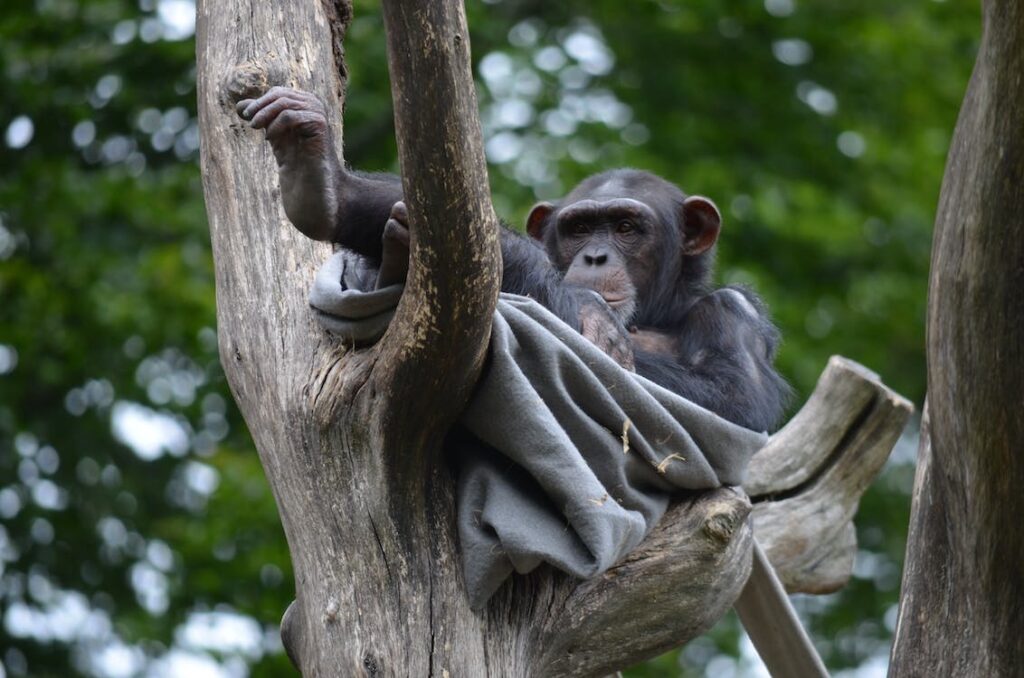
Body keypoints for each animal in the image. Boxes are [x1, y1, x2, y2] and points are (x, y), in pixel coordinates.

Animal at [235, 87, 786, 432]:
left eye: (627, 228)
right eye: (579, 228)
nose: (596, 255)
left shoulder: (734, 313)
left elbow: (729, 396)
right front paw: (330, 185)